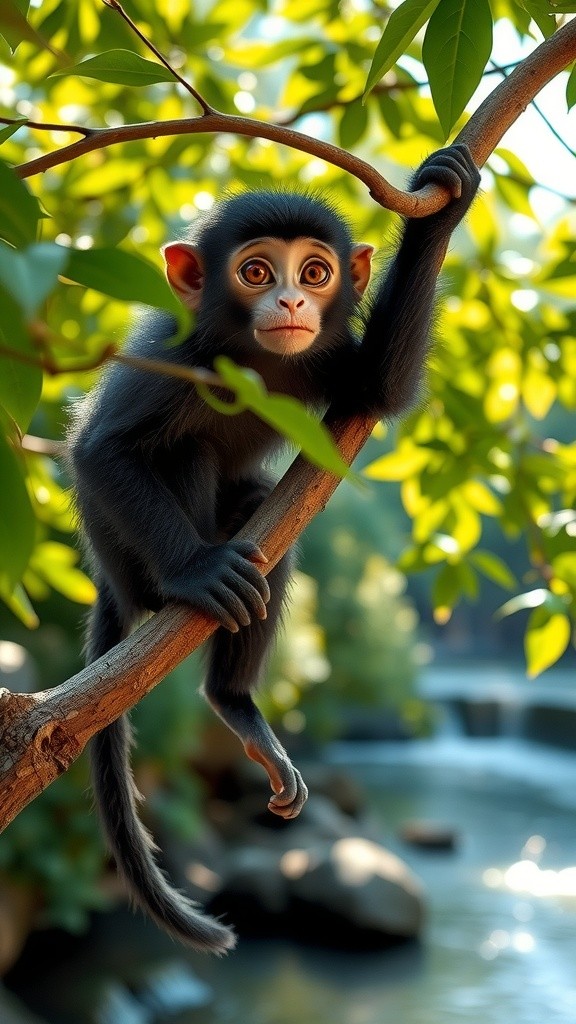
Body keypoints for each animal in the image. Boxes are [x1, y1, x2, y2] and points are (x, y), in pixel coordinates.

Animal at [67, 144, 480, 954]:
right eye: (257, 271)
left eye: (315, 272)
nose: (290, 303)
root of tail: (107, 579)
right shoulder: (176, 354)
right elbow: (101, 451)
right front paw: (197, 571)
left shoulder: (329, 357)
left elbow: (377, 391)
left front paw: (443, 200)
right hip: (127, 556)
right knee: (185, 452)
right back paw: (186, 590)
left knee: (262, 518)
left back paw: (234, 701)